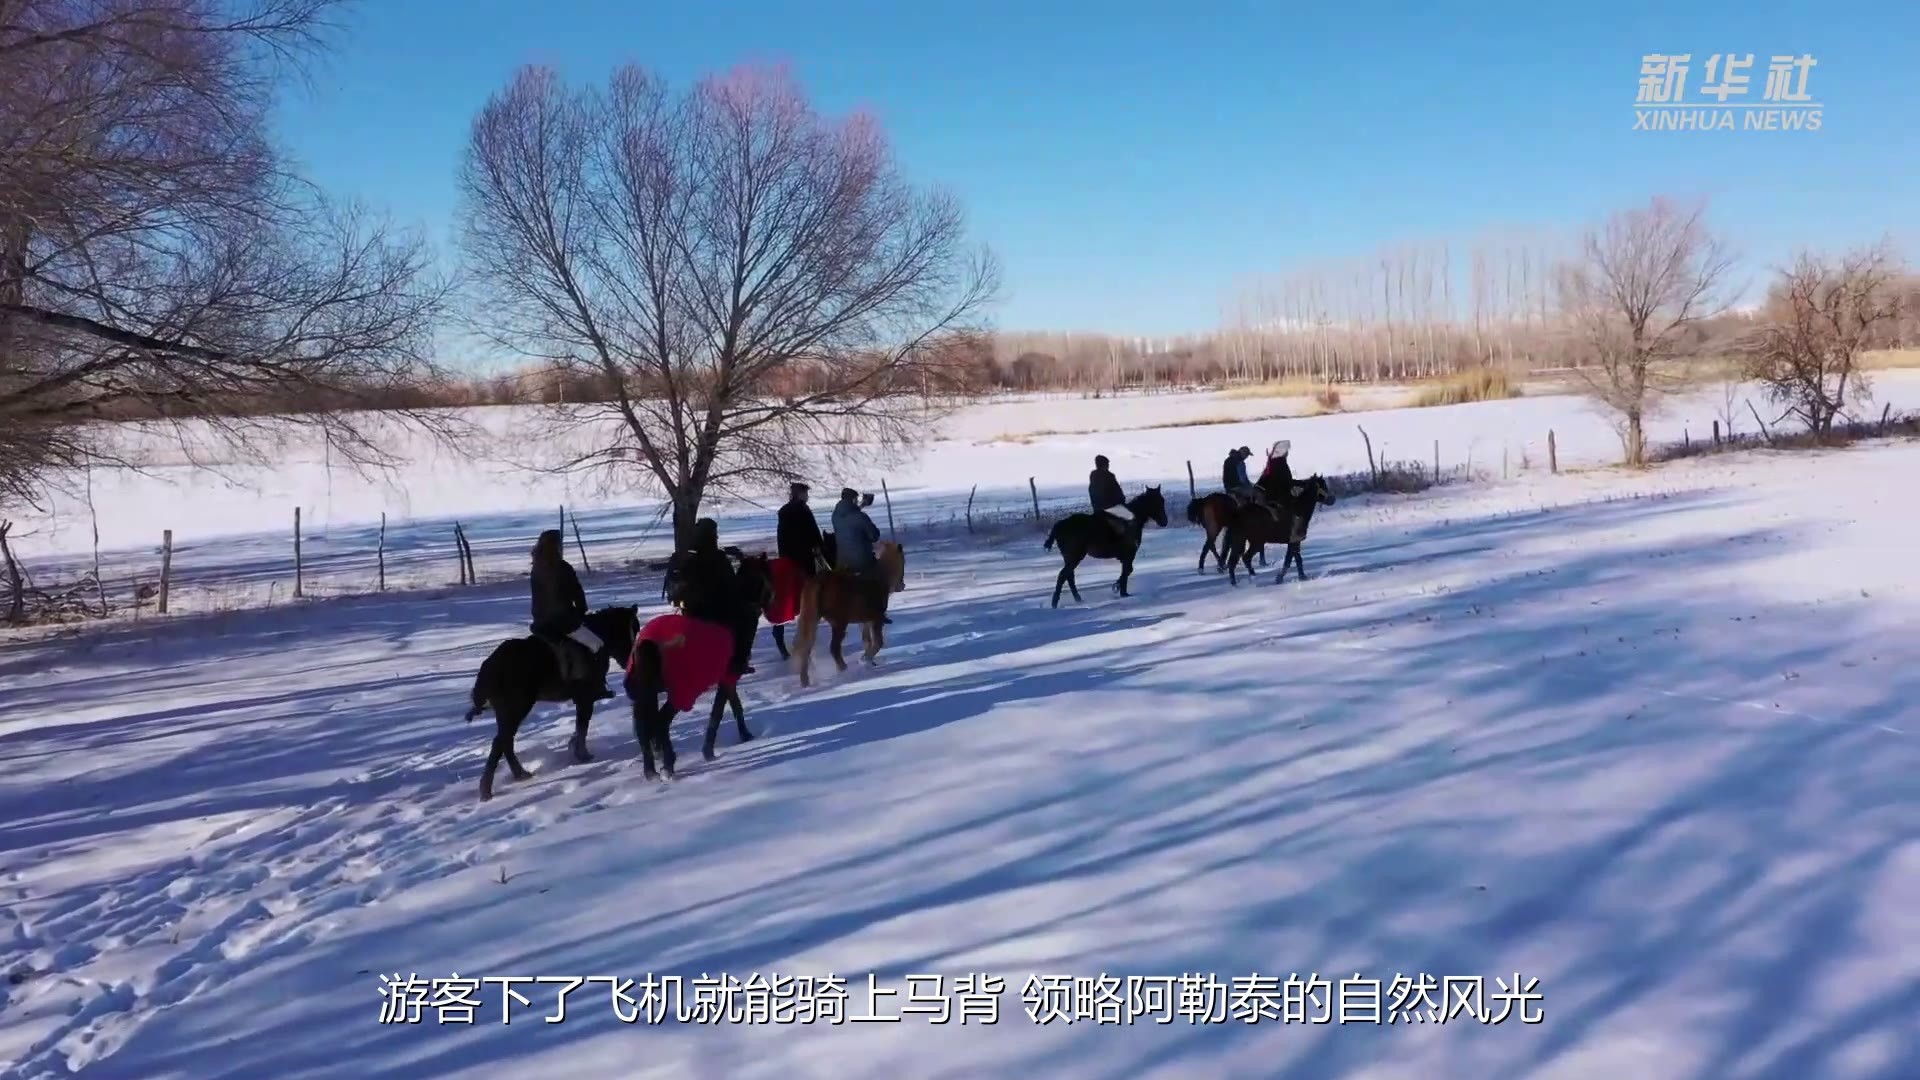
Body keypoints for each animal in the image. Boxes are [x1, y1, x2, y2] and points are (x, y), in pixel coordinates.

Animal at [466, 607, 641, 799]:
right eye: (631, 630)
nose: (630, 662)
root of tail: (489, 667)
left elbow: (580, 728)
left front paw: (576, 749)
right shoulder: (585, 699)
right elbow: (582, 727)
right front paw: (583, 756)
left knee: (505, 742)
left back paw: (518, 775)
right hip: (515, 709)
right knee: (501, 742)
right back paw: (489, 790)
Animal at [798, 541, 910, 684]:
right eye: (902, 561)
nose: (902, 585)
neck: (878, 580)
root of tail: (820, 581)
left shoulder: (865, 621)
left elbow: (867, 641)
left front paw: (869, 662)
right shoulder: (876, 619)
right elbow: (878, 642)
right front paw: (865, 659)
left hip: (813, 620)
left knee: (806, 649)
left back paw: (805, 681)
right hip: (839, 623)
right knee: (834, 648)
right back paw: (843, 670)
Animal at [1036, 486, 1167, 607]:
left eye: (1162, 500)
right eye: (1157, 502)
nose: (1164, 522)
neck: (1132, 521)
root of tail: (1059, 525)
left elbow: (1126, 571)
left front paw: (1120, 590)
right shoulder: (1129, 554)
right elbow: (1126, 572)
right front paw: (1122, 592)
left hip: (1070, 558)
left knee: (1069, 577)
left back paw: (1077, 599)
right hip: (1075, 557)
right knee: (1063, 576)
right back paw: (1055, 603)